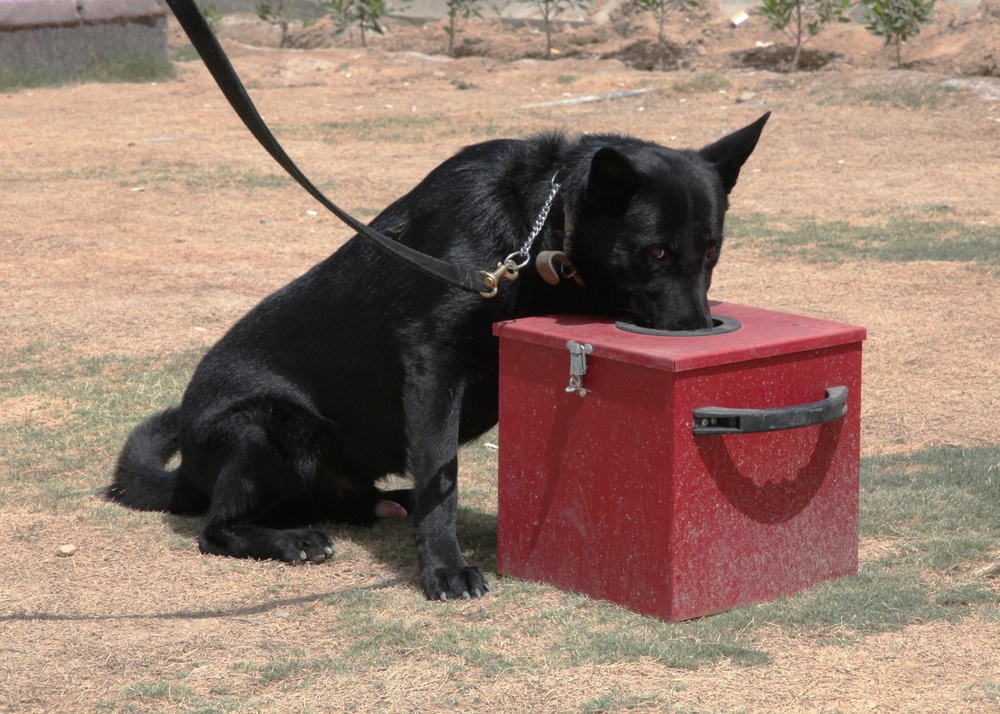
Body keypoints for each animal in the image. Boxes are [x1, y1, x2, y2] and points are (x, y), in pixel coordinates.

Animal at [107, 112, 764, 600]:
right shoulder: (434, 366)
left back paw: (387, 503)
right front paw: (444, 569)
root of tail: (189, 467)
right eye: (655, 253)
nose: (697, 329)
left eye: (712, 251)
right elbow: (440, 478)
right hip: (273, 425)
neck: (533, 225)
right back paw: (290, 540)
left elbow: (437, 477)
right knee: (216, 530)